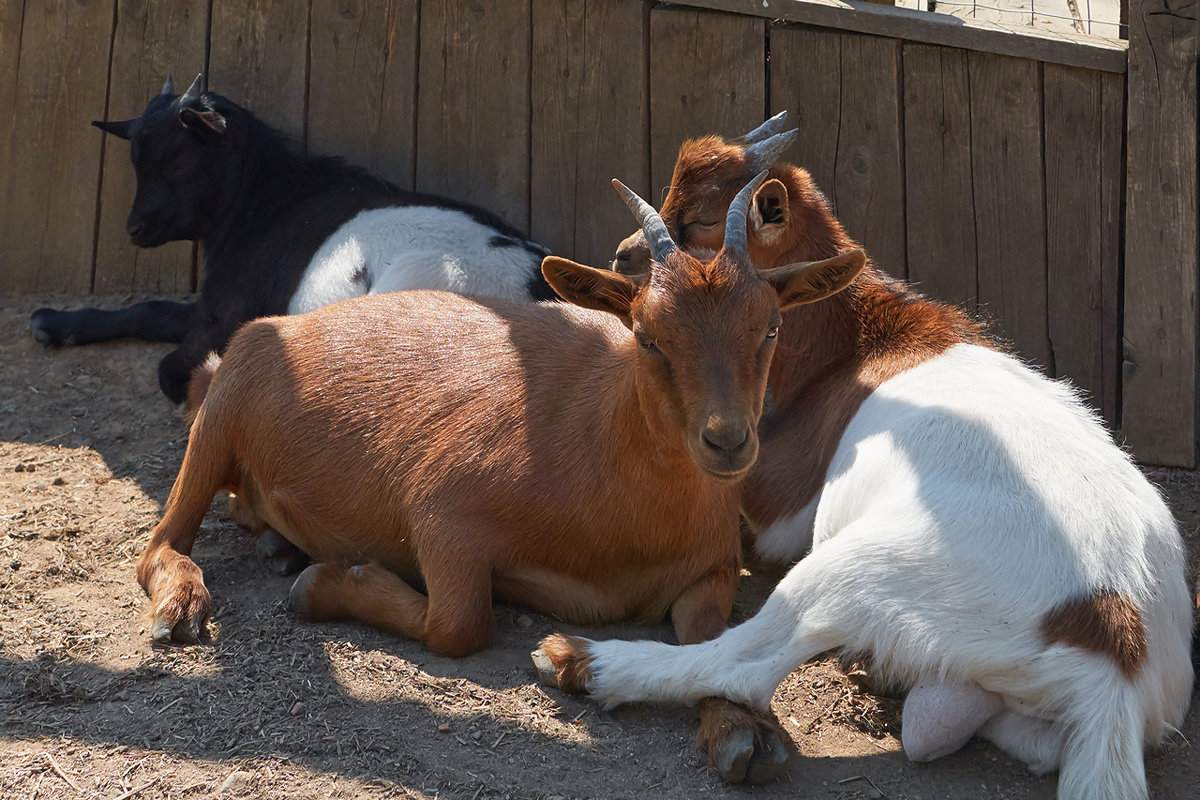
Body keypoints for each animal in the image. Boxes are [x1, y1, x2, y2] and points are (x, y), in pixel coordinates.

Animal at [29, 76, 552, 407]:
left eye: (179, 162)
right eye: (137, 160)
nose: (134, 228)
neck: (266, 201)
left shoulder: (230, 313)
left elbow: (172, 367)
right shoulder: (214, 303)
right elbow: (149, 311)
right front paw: (51, 323)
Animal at [136, 175, 868, 782]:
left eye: (770, 328)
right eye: (647, 335)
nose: (726, 441)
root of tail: (288, 324)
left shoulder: (711, 568)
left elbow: (717, 643)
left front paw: (742, 733)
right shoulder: (444, 510)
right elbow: (460, 626)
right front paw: (329, 584)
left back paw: (277, 541)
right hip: (222, 412)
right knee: (163, 542)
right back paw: (188, 603)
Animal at [540, 113, 1195, 800]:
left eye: (698, 219)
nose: (620, 256)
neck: (860, 341)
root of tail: (1116, 643)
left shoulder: (779, 509)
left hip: (856, 567)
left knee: (743, 664)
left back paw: (584, 661)